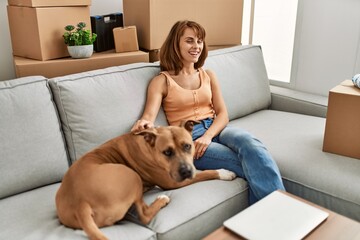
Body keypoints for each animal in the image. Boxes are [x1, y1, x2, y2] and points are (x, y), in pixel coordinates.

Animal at [55, 120, 236, 240]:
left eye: (187, 146)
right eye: (167, 152)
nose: (185, 171)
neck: (150, 144)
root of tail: (80, 203)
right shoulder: (172, 181)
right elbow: (205, 173)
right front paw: (224, 173)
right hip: (131, 175)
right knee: (144, 215)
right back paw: (161, 199)